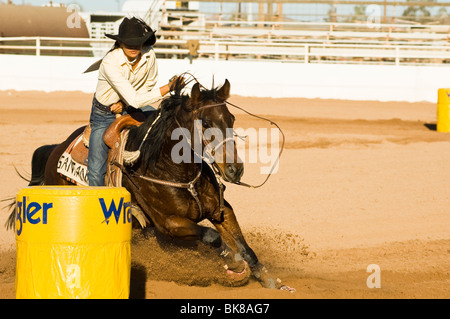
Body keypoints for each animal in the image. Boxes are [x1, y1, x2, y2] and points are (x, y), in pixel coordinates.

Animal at [7, 79, 292, 292]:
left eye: (231, 118)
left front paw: (271, 281)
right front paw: (232, 262)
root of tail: (55, 149)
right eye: (206, 123)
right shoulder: (169, 224)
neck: (176, 173)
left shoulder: (221, 211)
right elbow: (212, 237)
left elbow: (246, 246)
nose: (235, 169)